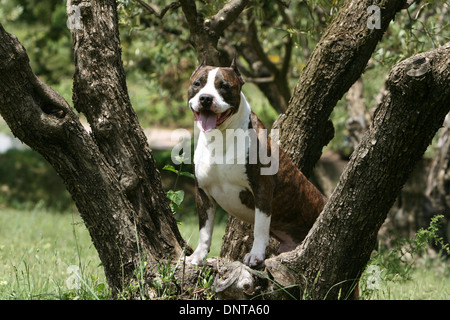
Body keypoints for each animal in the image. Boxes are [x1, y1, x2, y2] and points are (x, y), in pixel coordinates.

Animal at [185, 58, 326, 266]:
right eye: (197, 84)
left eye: (224, 86)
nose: (205, 98)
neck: (220, 137)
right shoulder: (203, 193)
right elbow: (204, 230)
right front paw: (197, 256)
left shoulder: (262, 188)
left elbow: (260, 227)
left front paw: (256, 255)